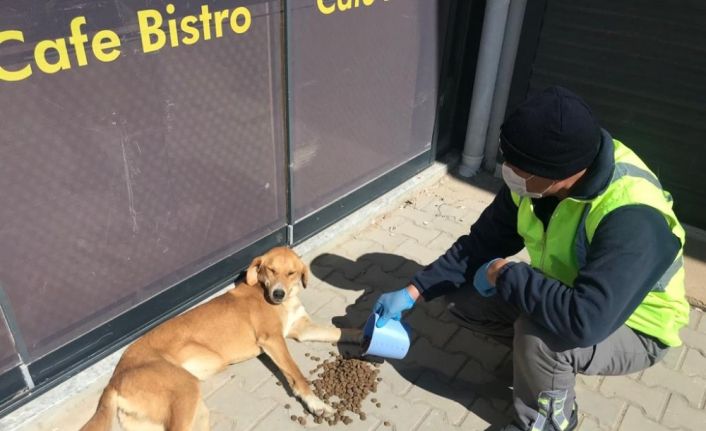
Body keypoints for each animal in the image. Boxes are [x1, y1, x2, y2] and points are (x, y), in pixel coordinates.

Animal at [80, 248, 360, 431]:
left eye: (291, 273)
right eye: (270, 269)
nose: (278, 294)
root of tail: (115, 377)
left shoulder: (301, 329)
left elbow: (341, 332)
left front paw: (365, 334)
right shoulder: (272, 340)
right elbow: (296, 373)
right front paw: (315, 402)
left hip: (189, 413)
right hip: (185, 393)